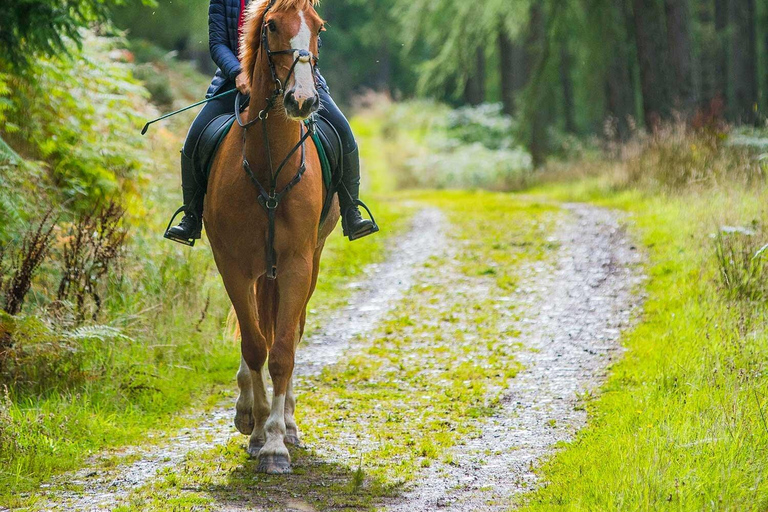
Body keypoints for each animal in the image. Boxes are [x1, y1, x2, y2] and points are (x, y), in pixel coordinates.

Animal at [204, 0, 338, 474]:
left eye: (318, 28)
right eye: (272, 26)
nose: (303, 100)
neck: (269, 167)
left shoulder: (297, 263)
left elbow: (281, 351)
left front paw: (278, 443)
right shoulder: (233, 265)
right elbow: (254, 344)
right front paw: (258, 427)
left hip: (308, 262)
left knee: (291, 331)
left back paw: (290, 424)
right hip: (261, 271)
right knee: (259, 333)